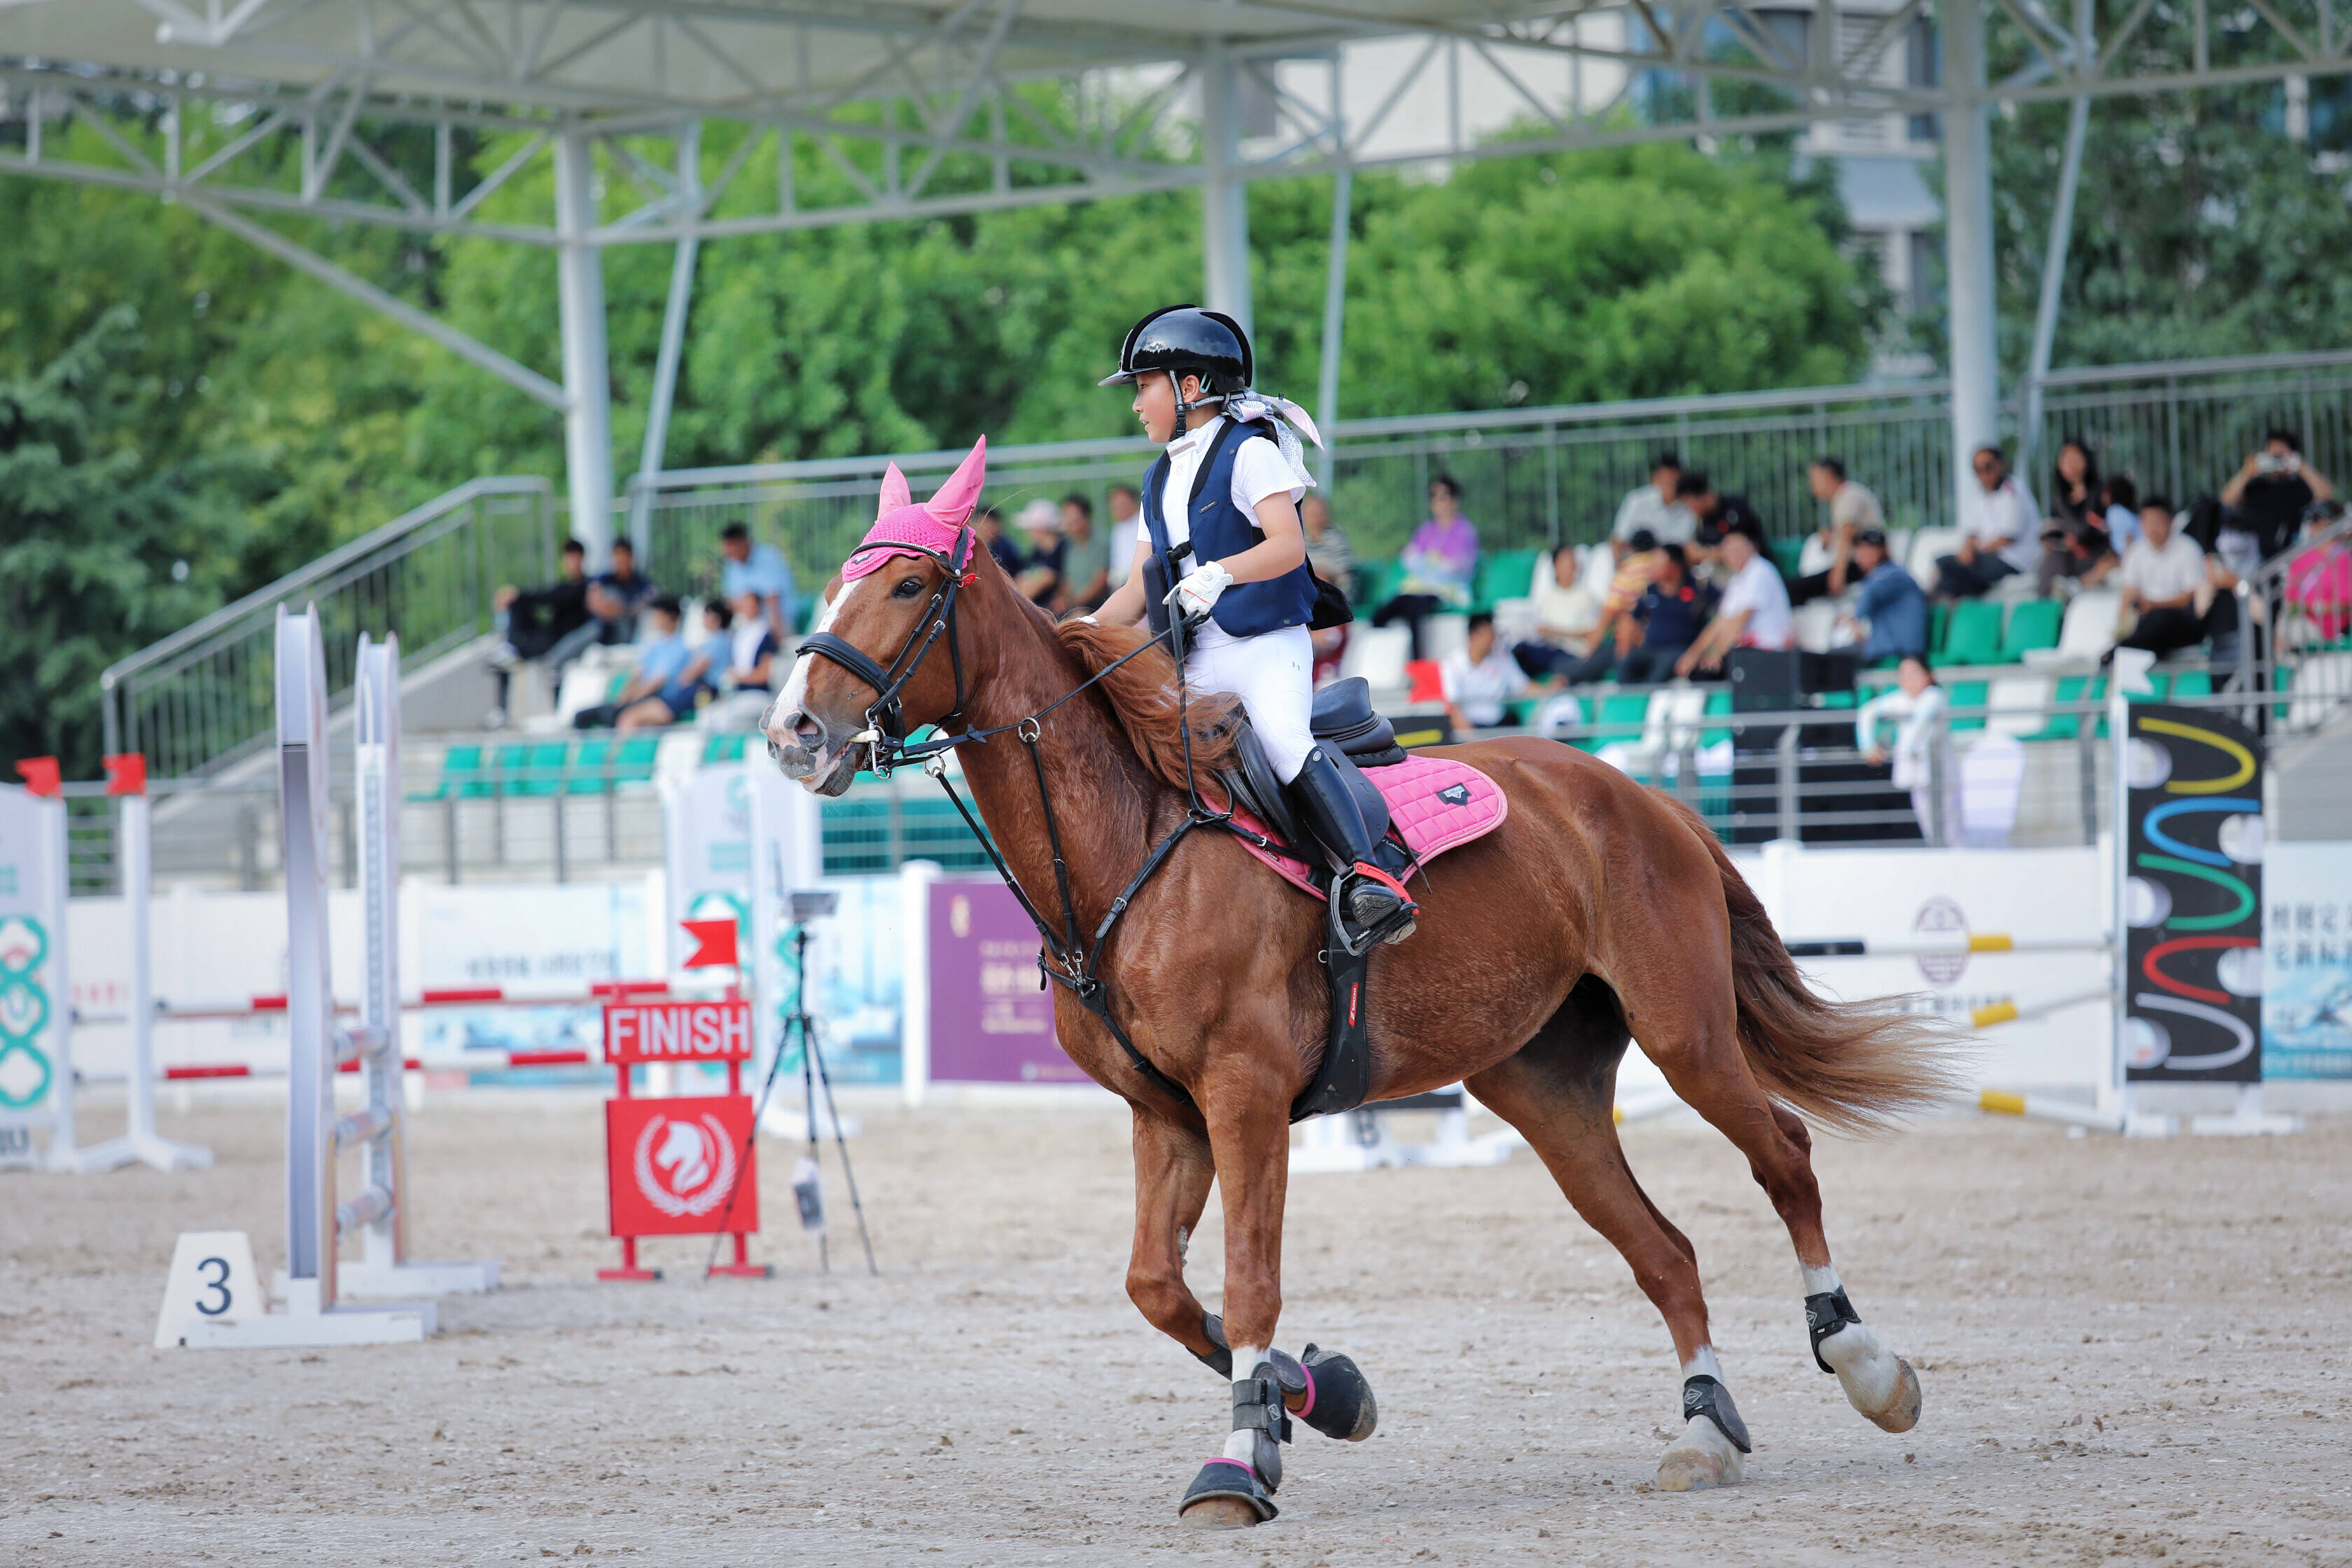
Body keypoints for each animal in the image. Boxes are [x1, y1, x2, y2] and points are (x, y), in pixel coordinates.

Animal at [766, 456, 1947, 1532]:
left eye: (908, 586)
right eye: (836, 582)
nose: (793, 734)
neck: (1129, 846)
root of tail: (1638, 793)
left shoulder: (1244, 1099)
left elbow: (1248, 1278)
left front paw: (1240, 1461)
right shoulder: (1167, 1116)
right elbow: (1160, 1288)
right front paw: (1317, 1393)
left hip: (1686, 1035)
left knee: (1783, 1157)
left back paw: (1866, 1365)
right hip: (1545, 1091)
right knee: (1665, 1251)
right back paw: (1706, 1429)